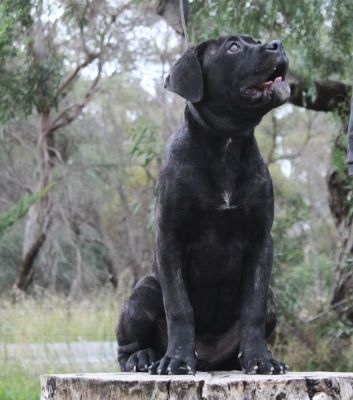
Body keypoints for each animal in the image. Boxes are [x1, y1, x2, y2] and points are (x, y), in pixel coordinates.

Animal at [115, 34, 288, 376]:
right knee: (125, 347)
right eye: (233, 47)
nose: (277, 44)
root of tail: (209, 360)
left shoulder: (261, 241)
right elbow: (179, 306)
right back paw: (143, 357)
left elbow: (253, 308)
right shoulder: (170, 239)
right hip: (142, 295)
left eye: (256, 40)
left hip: (272, 299)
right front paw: (178, 359)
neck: (226, 144)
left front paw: (260, 359)